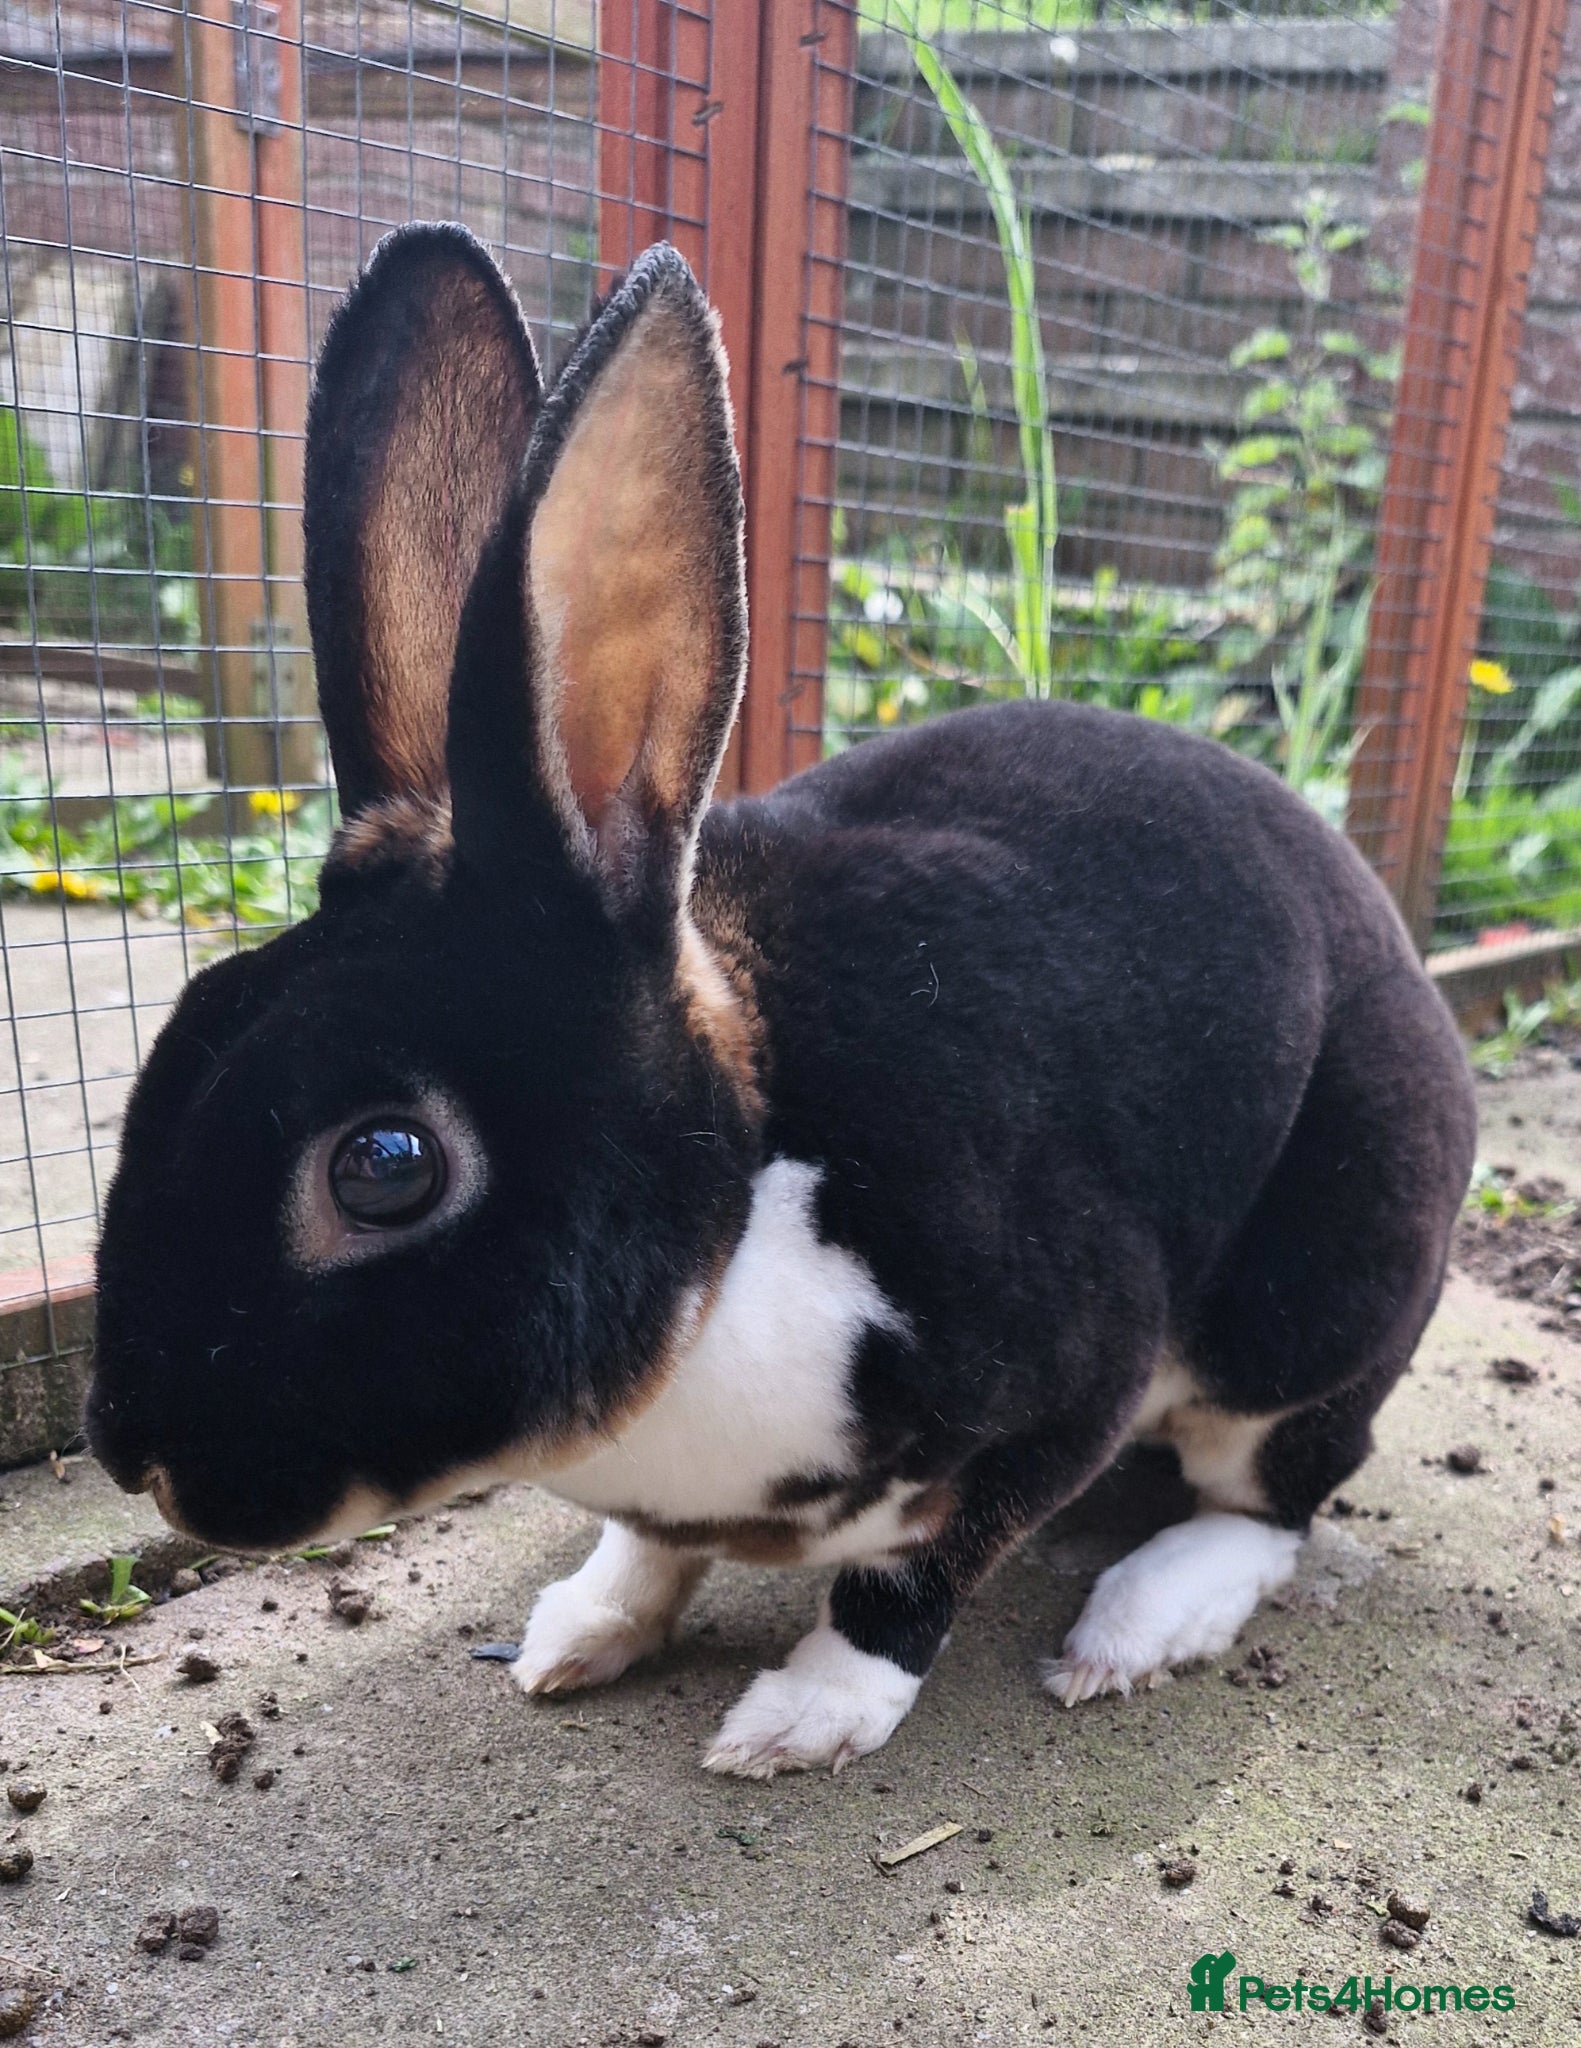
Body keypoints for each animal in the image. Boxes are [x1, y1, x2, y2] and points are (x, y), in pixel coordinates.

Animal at [89, 224, 1477, 1780]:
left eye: (383, 1166)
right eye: (175, 1038)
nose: (135, 1452)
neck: (742, 1210)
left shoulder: (1071, 1382)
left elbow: (920, 1572)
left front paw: (802, 1718)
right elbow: (647, 1550)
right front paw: (582, 1633)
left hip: (1315, 1308)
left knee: (1275, 1497)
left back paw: (1135, 1622)